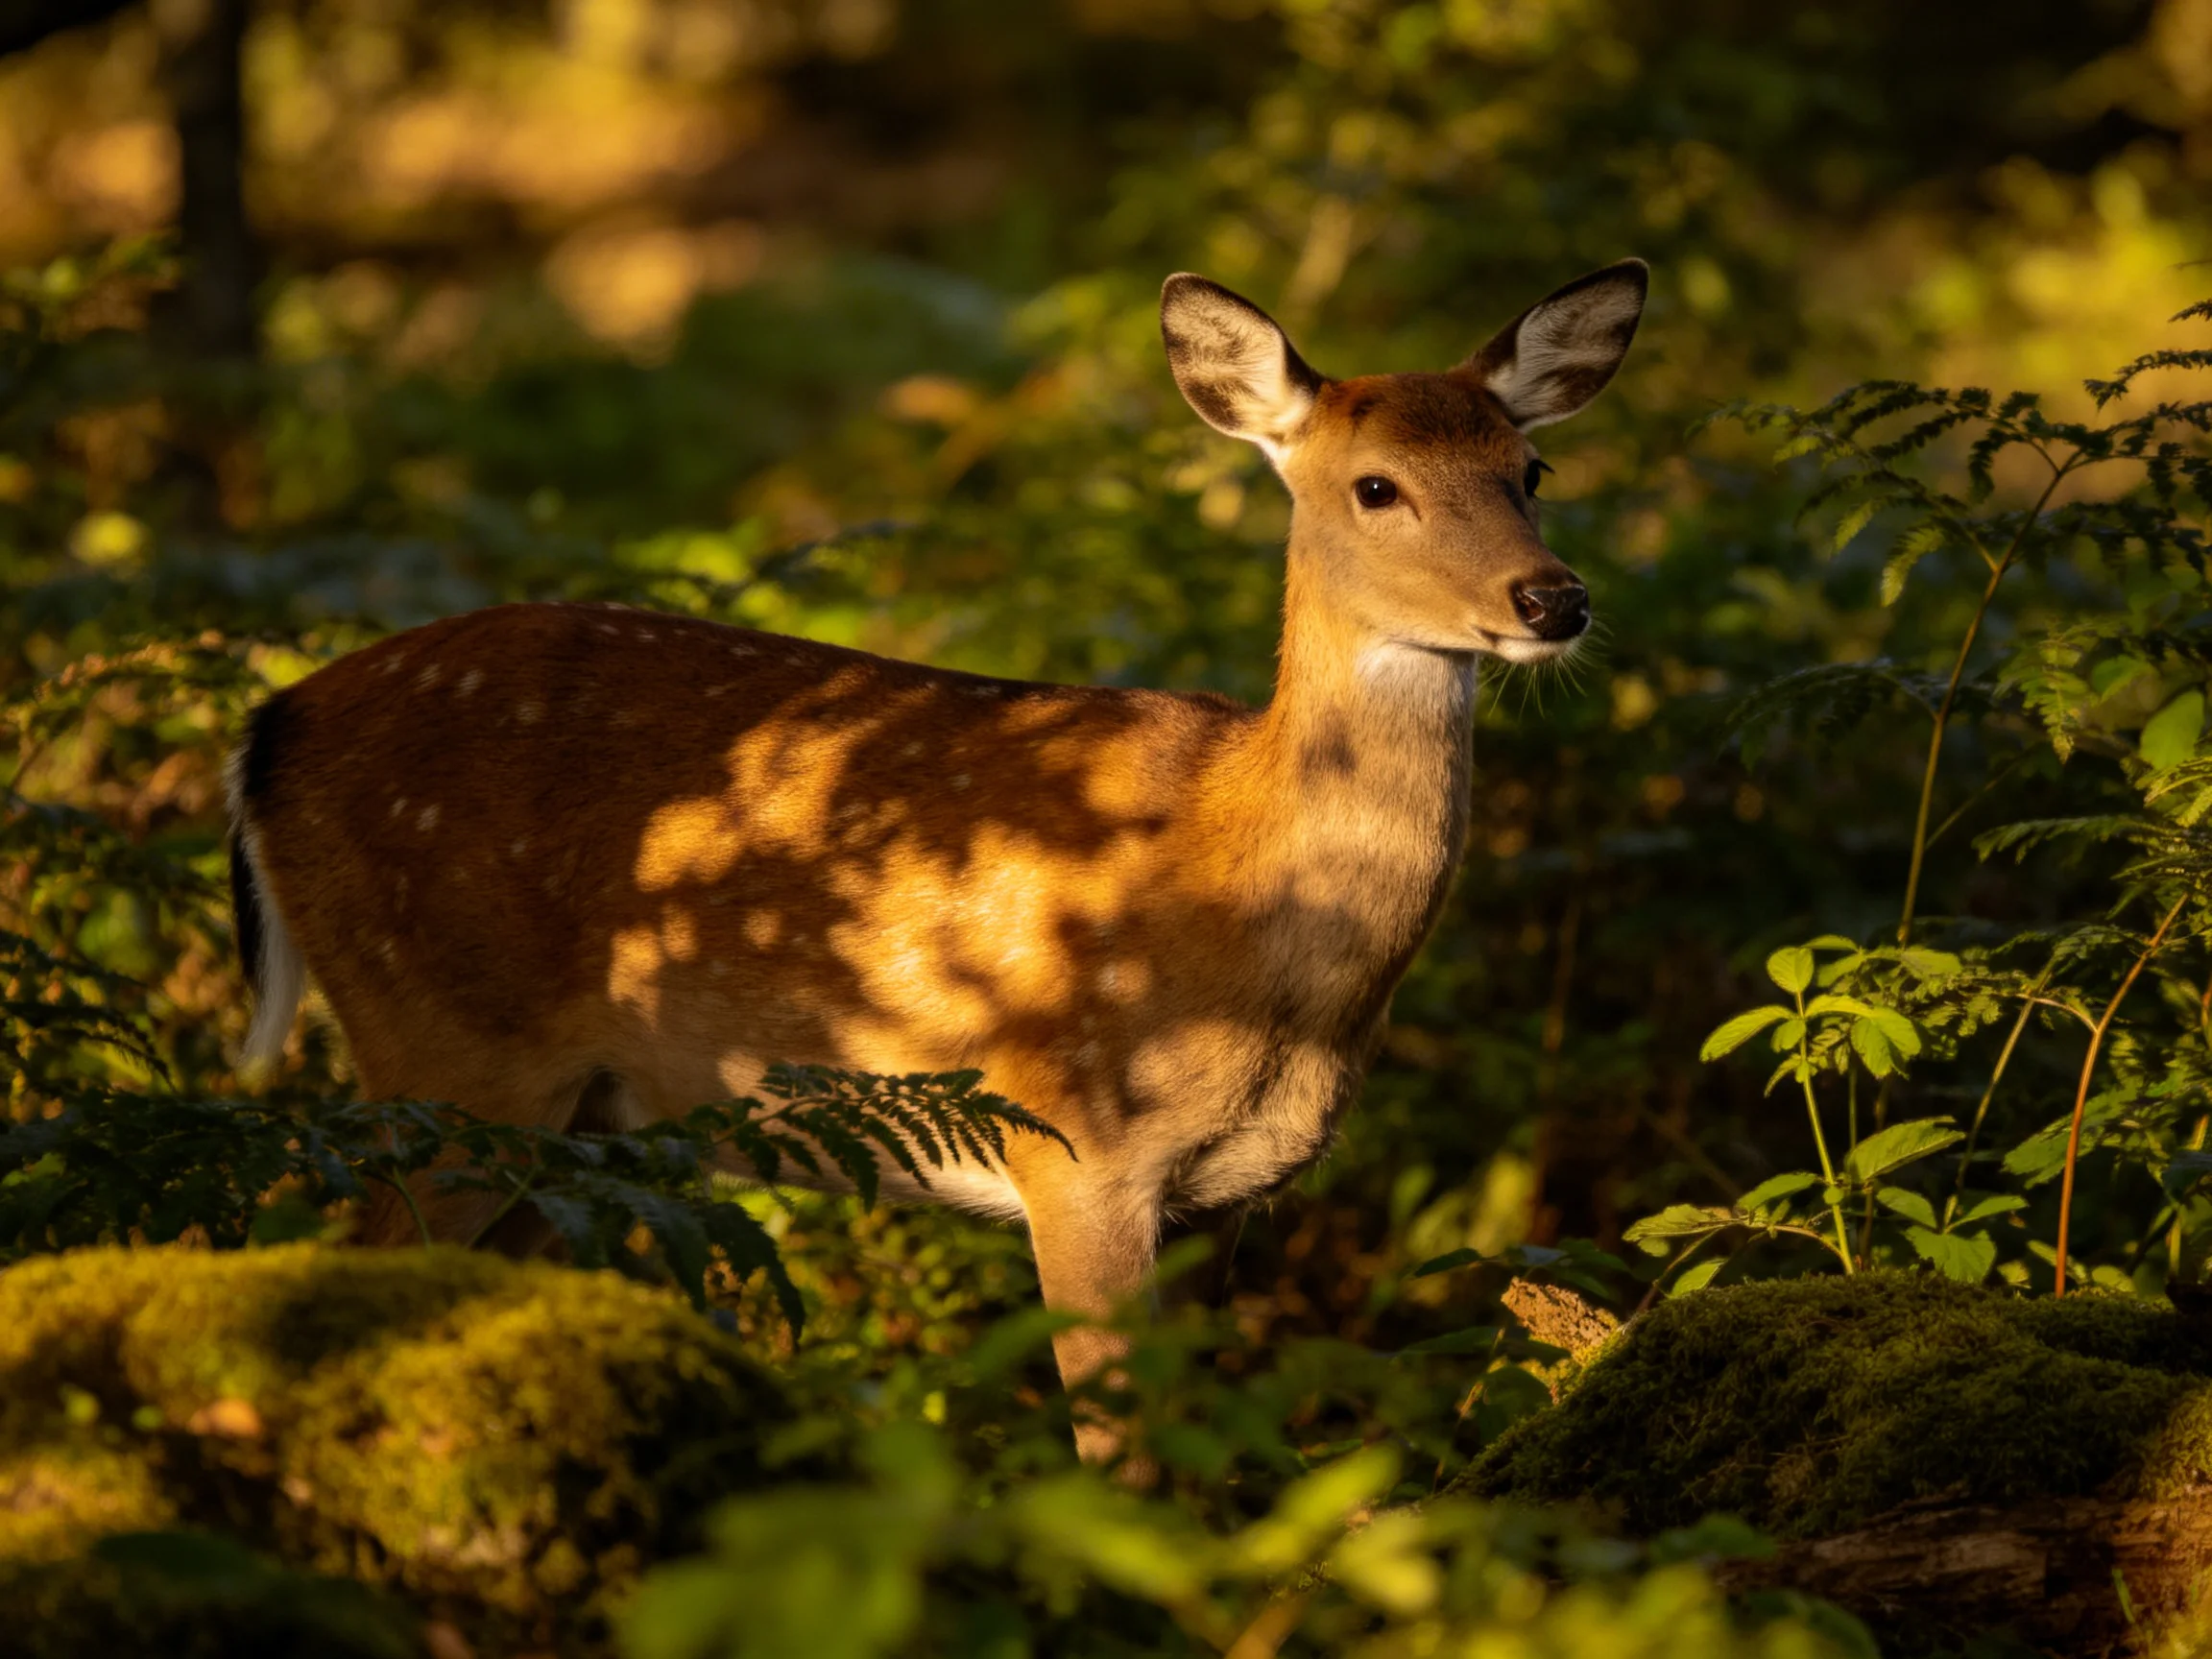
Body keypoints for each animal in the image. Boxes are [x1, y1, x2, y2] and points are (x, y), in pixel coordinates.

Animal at [227, 259, 1647, 1461]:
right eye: (1375, 486)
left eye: (1533, 469)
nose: (1553, 599)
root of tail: (265, 731)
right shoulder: (1073, 1137)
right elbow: (1120, 1458)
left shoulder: (1223, 1200)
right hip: (447, 1046)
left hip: (562, 1121)